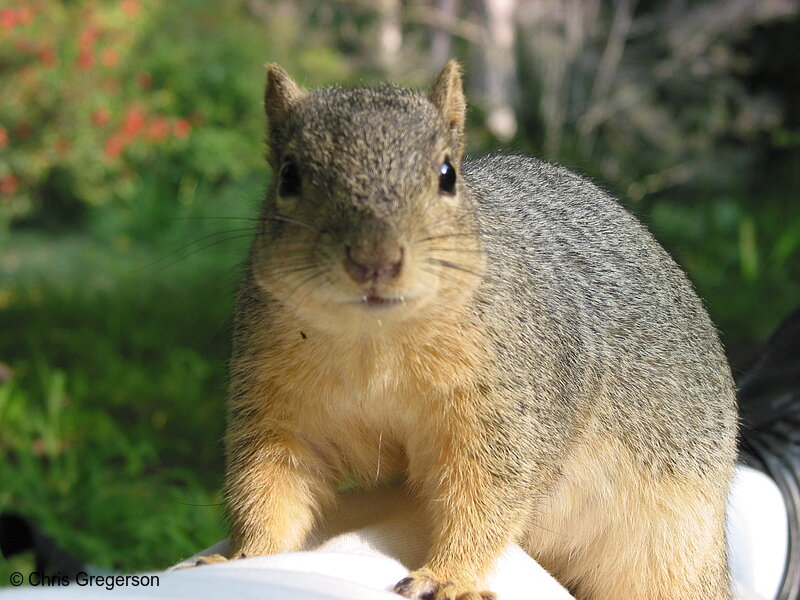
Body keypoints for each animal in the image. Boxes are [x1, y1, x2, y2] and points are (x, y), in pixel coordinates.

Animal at [219, 61, 736, 600]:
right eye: (288, 176)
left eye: (448, 175)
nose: (374, 261)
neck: (373, 341)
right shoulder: (282, 410)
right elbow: (270, 483)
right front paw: (245, 557)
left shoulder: (508, 409)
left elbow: (486, 495)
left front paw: (447, 575)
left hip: (668, 548)